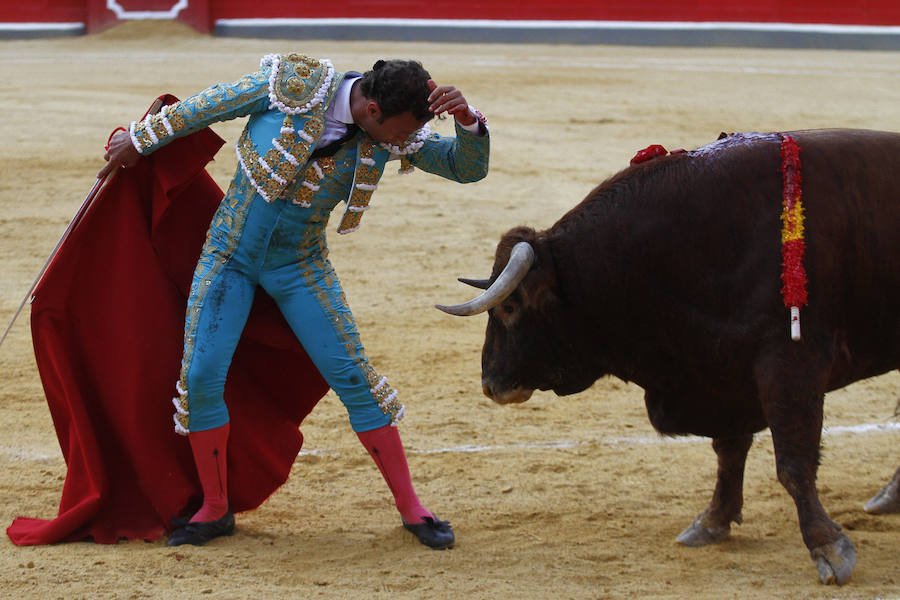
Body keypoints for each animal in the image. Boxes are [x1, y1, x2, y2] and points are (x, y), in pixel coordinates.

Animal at [438, 129, 900, 584]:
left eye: (510, 306)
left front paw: (828, 547)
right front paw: (712, 521)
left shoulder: (790, 365)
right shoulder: (724, 376)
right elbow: (729, 450)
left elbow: (793, 461)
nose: (490, 385)